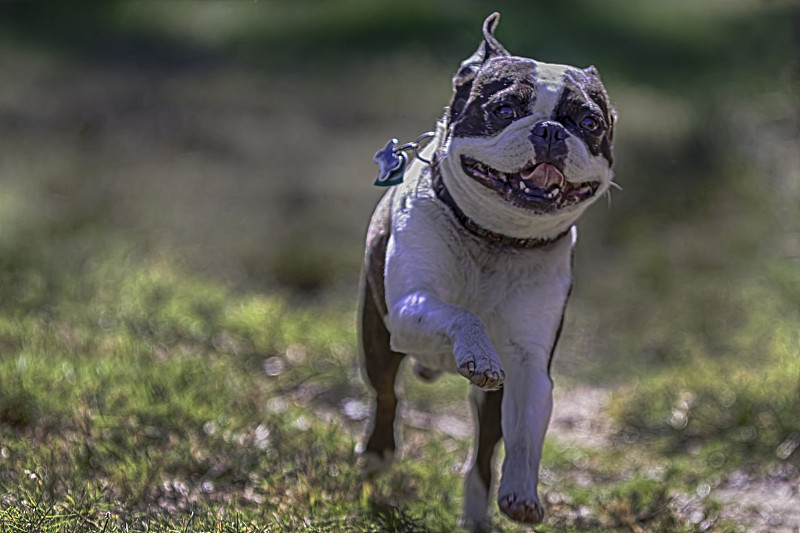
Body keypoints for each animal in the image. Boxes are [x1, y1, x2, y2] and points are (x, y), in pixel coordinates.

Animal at [360, 12, 616, 528]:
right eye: (503, 109)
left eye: (589, 122)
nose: (550, 130)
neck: (495, 238)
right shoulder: (408, 307)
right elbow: (463, 315)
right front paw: (478, 353)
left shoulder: (529, 364)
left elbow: (527, 432)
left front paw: (521, 493)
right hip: (378, 338)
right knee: (386, 395)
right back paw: (377, 455)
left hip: (489, 402)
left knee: (482, 450)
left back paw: (477, 515)